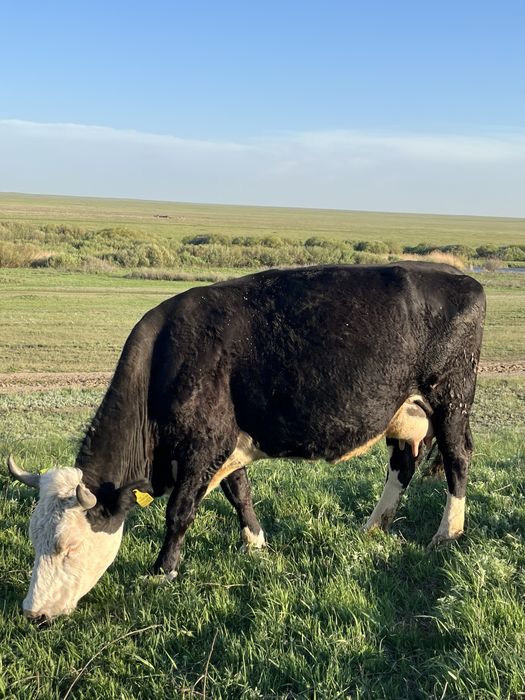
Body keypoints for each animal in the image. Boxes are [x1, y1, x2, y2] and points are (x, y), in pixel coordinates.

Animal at [8, 262, 485, 622]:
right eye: (32, 540)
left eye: (69, 547)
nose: (32, 613)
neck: (165, 362)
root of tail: (460, 278)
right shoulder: (228, 446)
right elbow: (240, 493)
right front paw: (255, 544)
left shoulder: (203, 447)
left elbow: (179, 513)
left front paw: (162, 572)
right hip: (405, 413)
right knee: (402, 465)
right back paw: (373, 526)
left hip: (451, 400)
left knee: (457, 459)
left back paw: (447, 533)